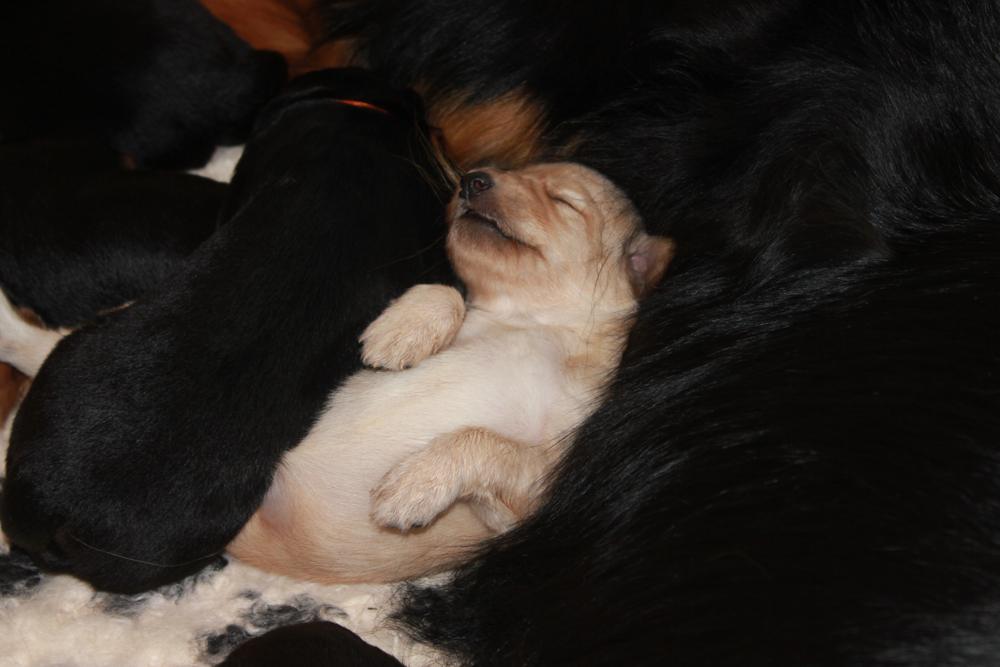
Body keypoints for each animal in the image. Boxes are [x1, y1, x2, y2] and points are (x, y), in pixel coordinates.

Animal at [228, 163, 671, 583]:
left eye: (564, 201)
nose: (472, 179)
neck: (526, 318)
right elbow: (449, 292)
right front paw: (403, 330)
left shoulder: (540, 495)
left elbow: (481, 440)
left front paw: (416, 483)